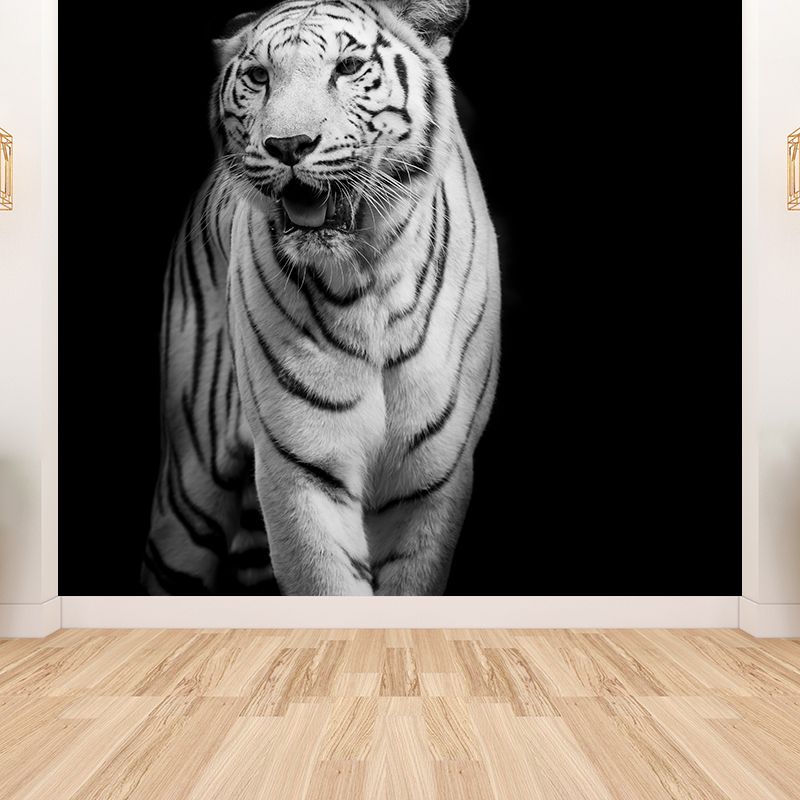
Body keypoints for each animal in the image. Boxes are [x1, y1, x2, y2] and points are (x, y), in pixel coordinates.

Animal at [141, 0, 501, 596]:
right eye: (259, 76)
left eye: (349, 67)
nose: (288, 146)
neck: (369, 276)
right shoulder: (301, 468)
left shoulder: (433, 480)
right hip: (190, 488)